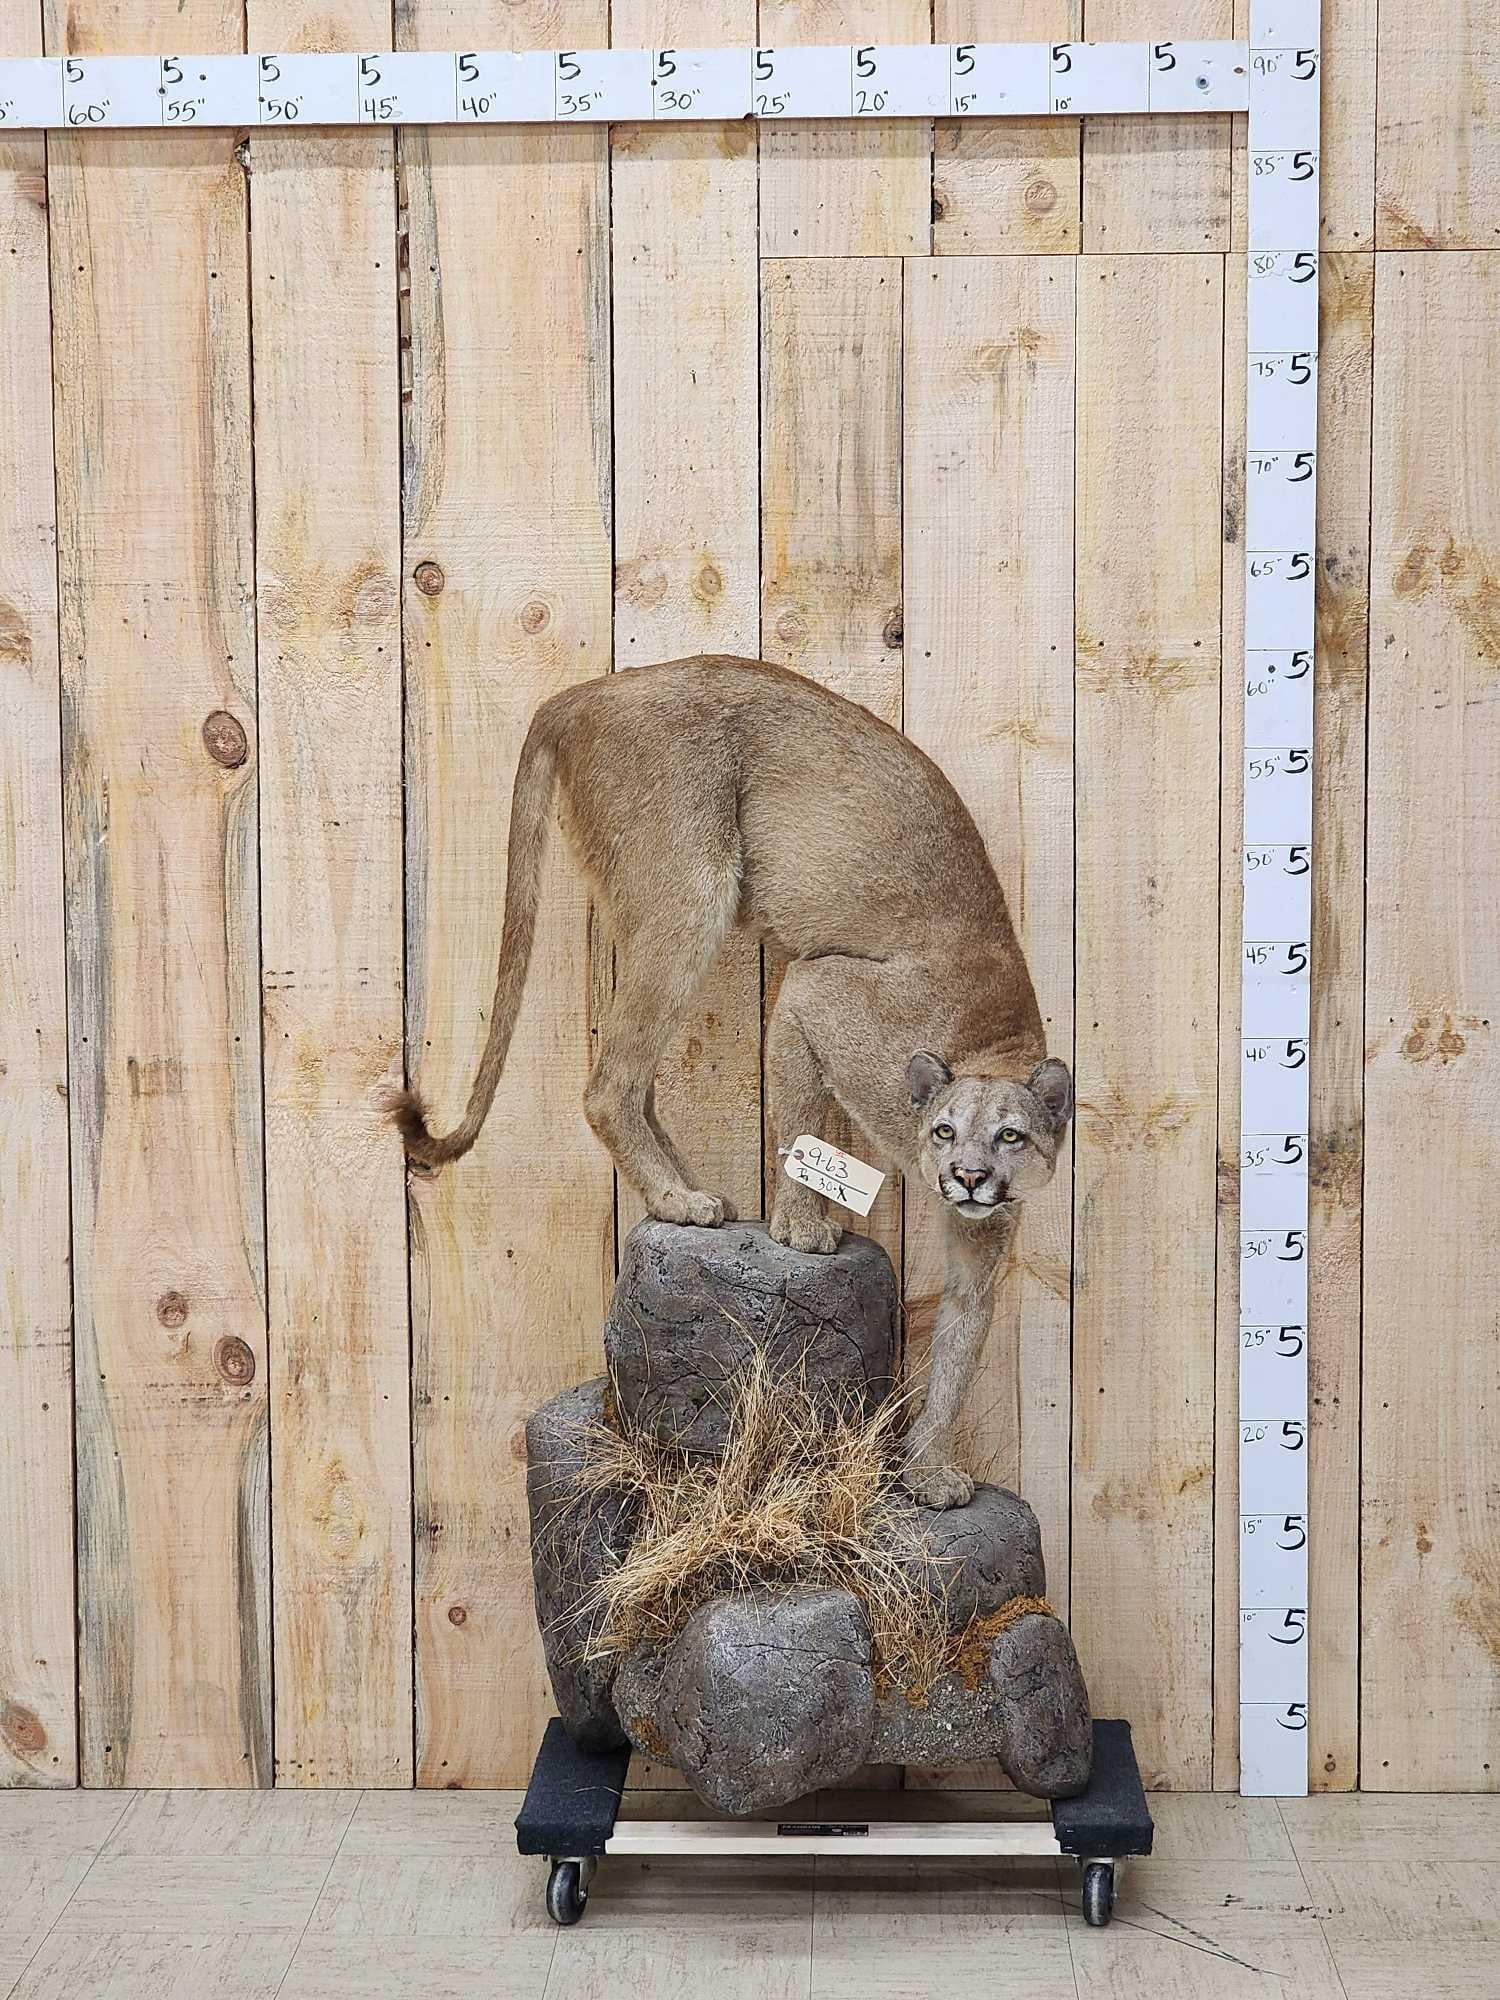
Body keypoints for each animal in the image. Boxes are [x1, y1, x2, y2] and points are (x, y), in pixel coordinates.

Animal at [387, 656, 1073, 1509]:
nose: (969, 1178)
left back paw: (682, 1191)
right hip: (690, 888)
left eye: (1011, 1137)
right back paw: (679, 1201)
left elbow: (958, 1349)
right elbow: (802, 1122)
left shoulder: (983, 1242)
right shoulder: (817, 989)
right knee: (608, 1083)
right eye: (945, 1131)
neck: (994, 1042)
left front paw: (929, 1468)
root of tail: (582, 693)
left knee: (636, 1079)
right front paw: (801, 1228)